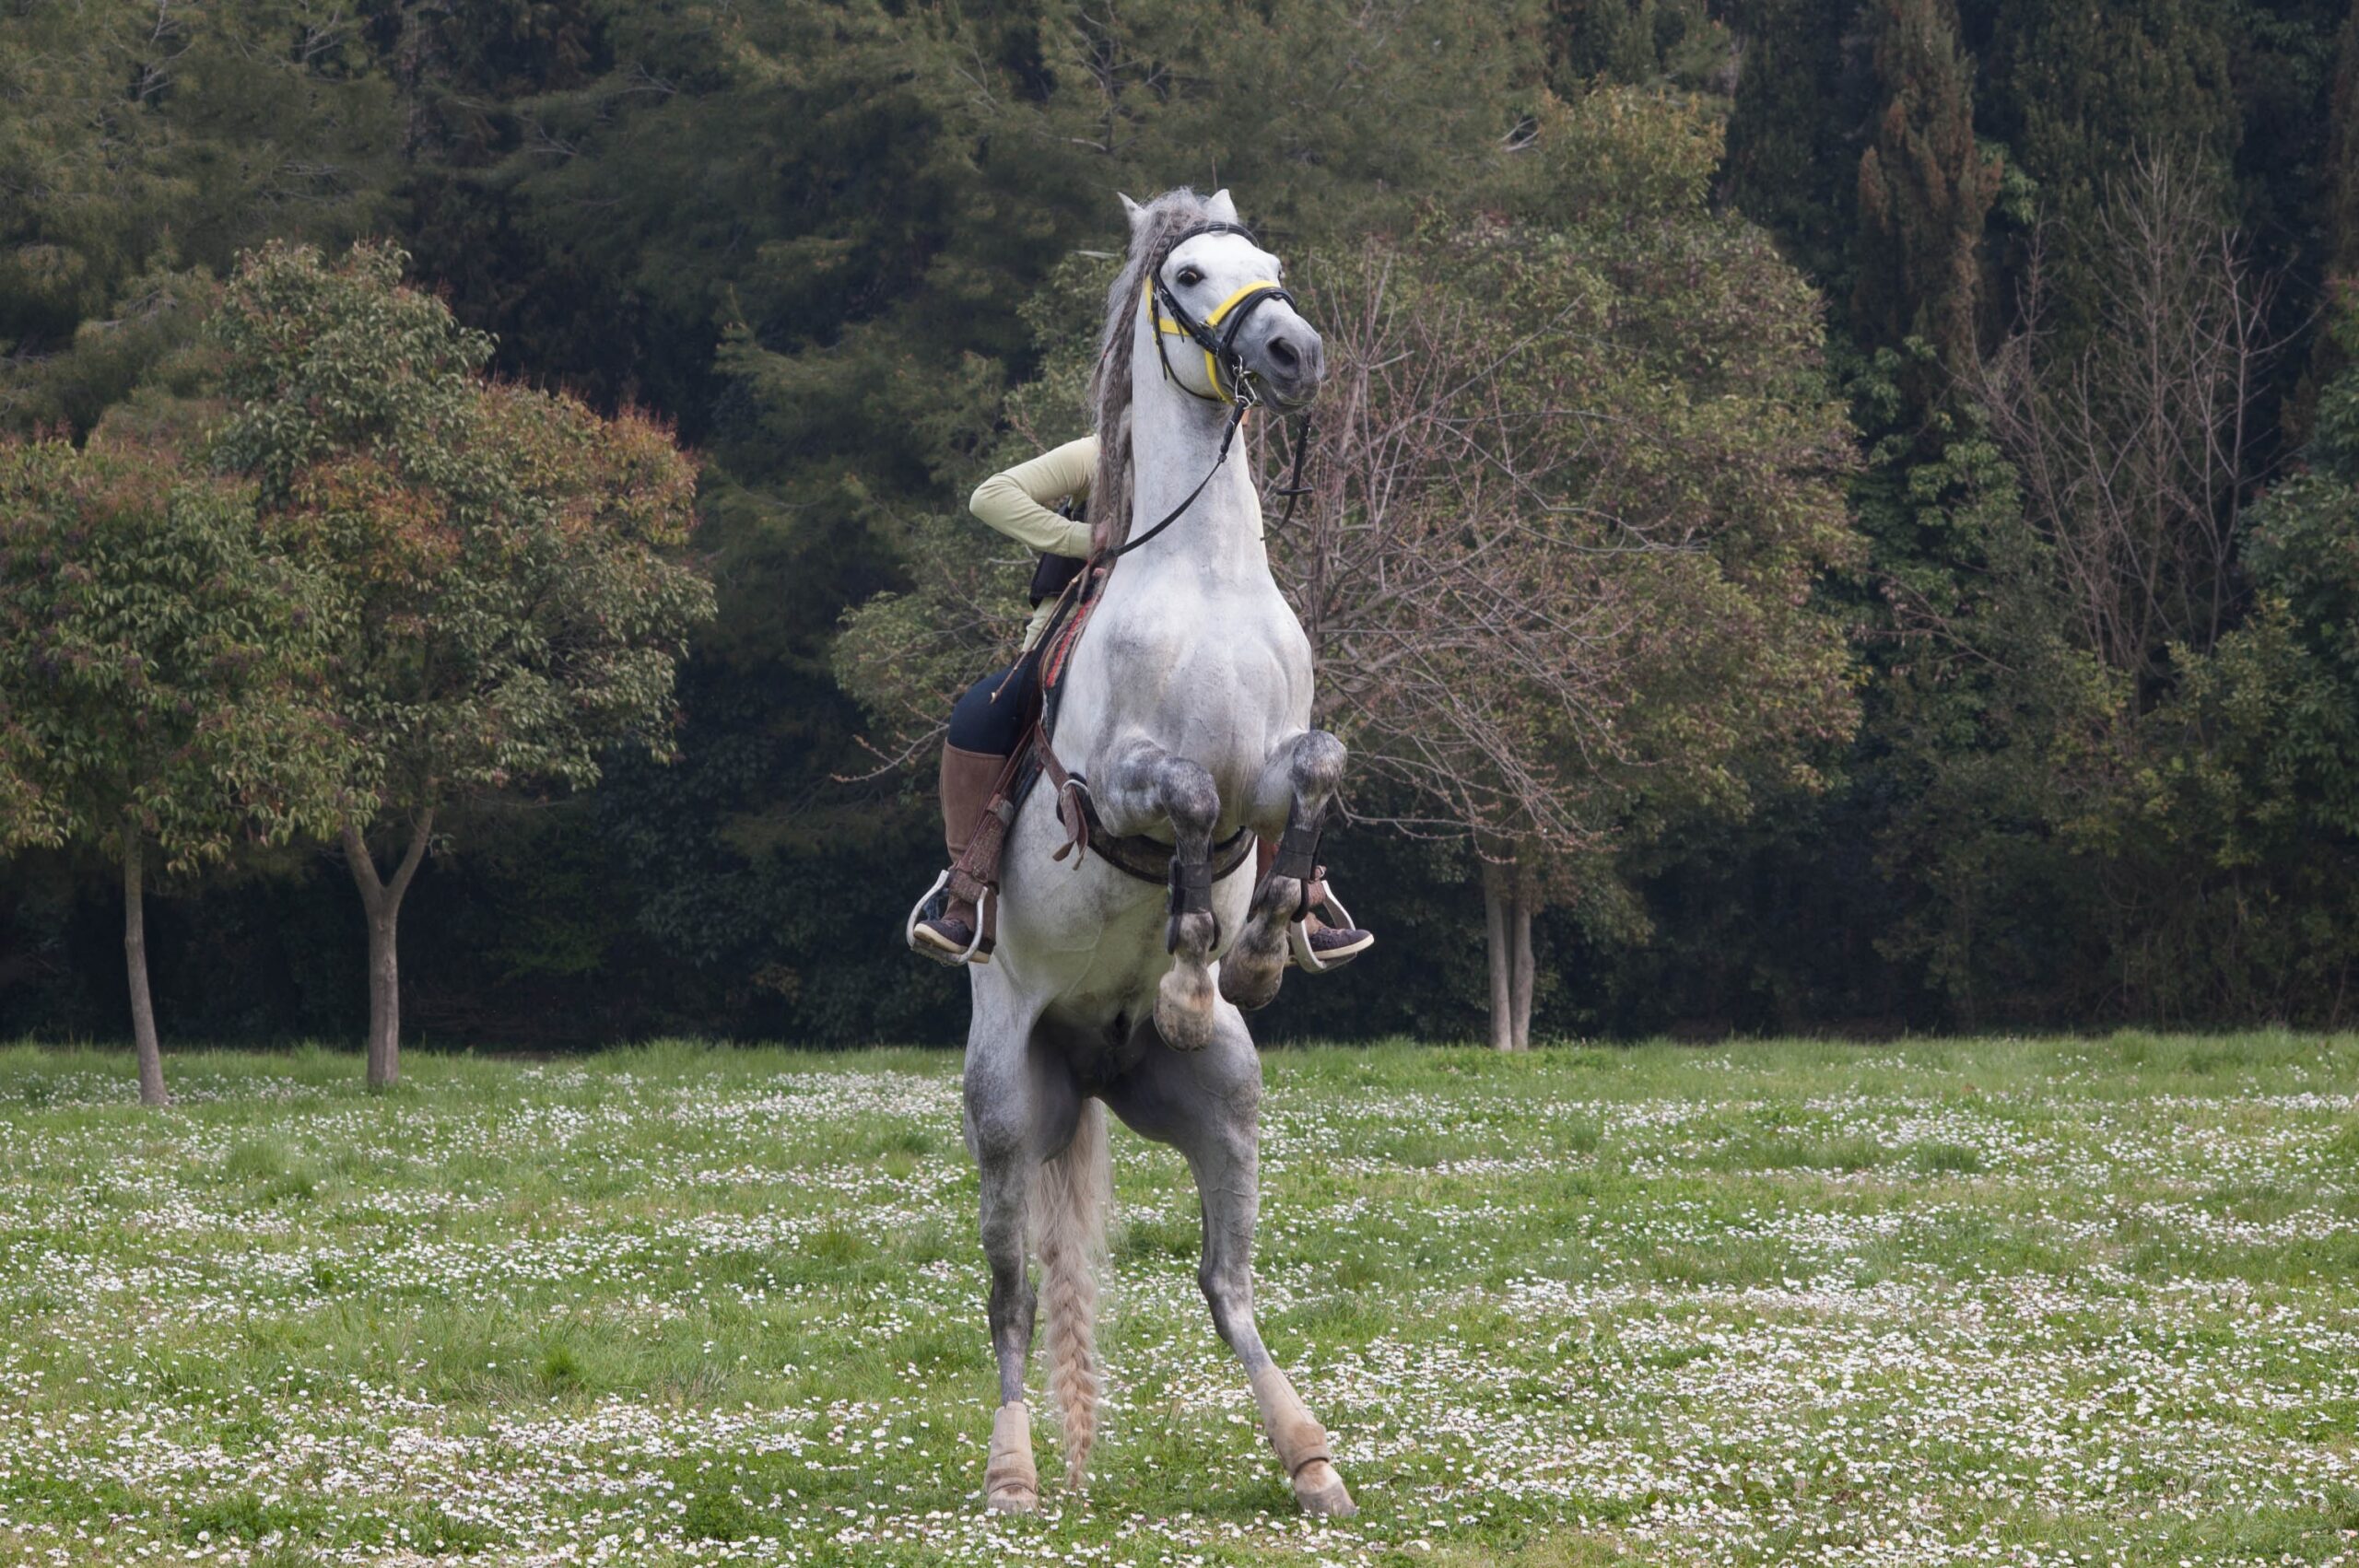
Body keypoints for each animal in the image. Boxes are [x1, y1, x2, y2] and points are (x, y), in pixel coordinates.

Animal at [957, 186, 1358, 1518]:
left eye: (1269, 261)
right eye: (1186, 275)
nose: (1293, 352)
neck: (1208, 576)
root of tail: (1087, 1059)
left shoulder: (1274, 763)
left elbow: (1312, 772)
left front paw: (1272, 938)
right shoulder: (1120, 784)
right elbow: (1180, 798)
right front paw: (1190, 967)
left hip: (1223, 1100)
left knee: (1222, 1283)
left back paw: (1311, 1456)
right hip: (1003, 1109)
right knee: (1014, 1292)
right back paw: (1014, 1471)